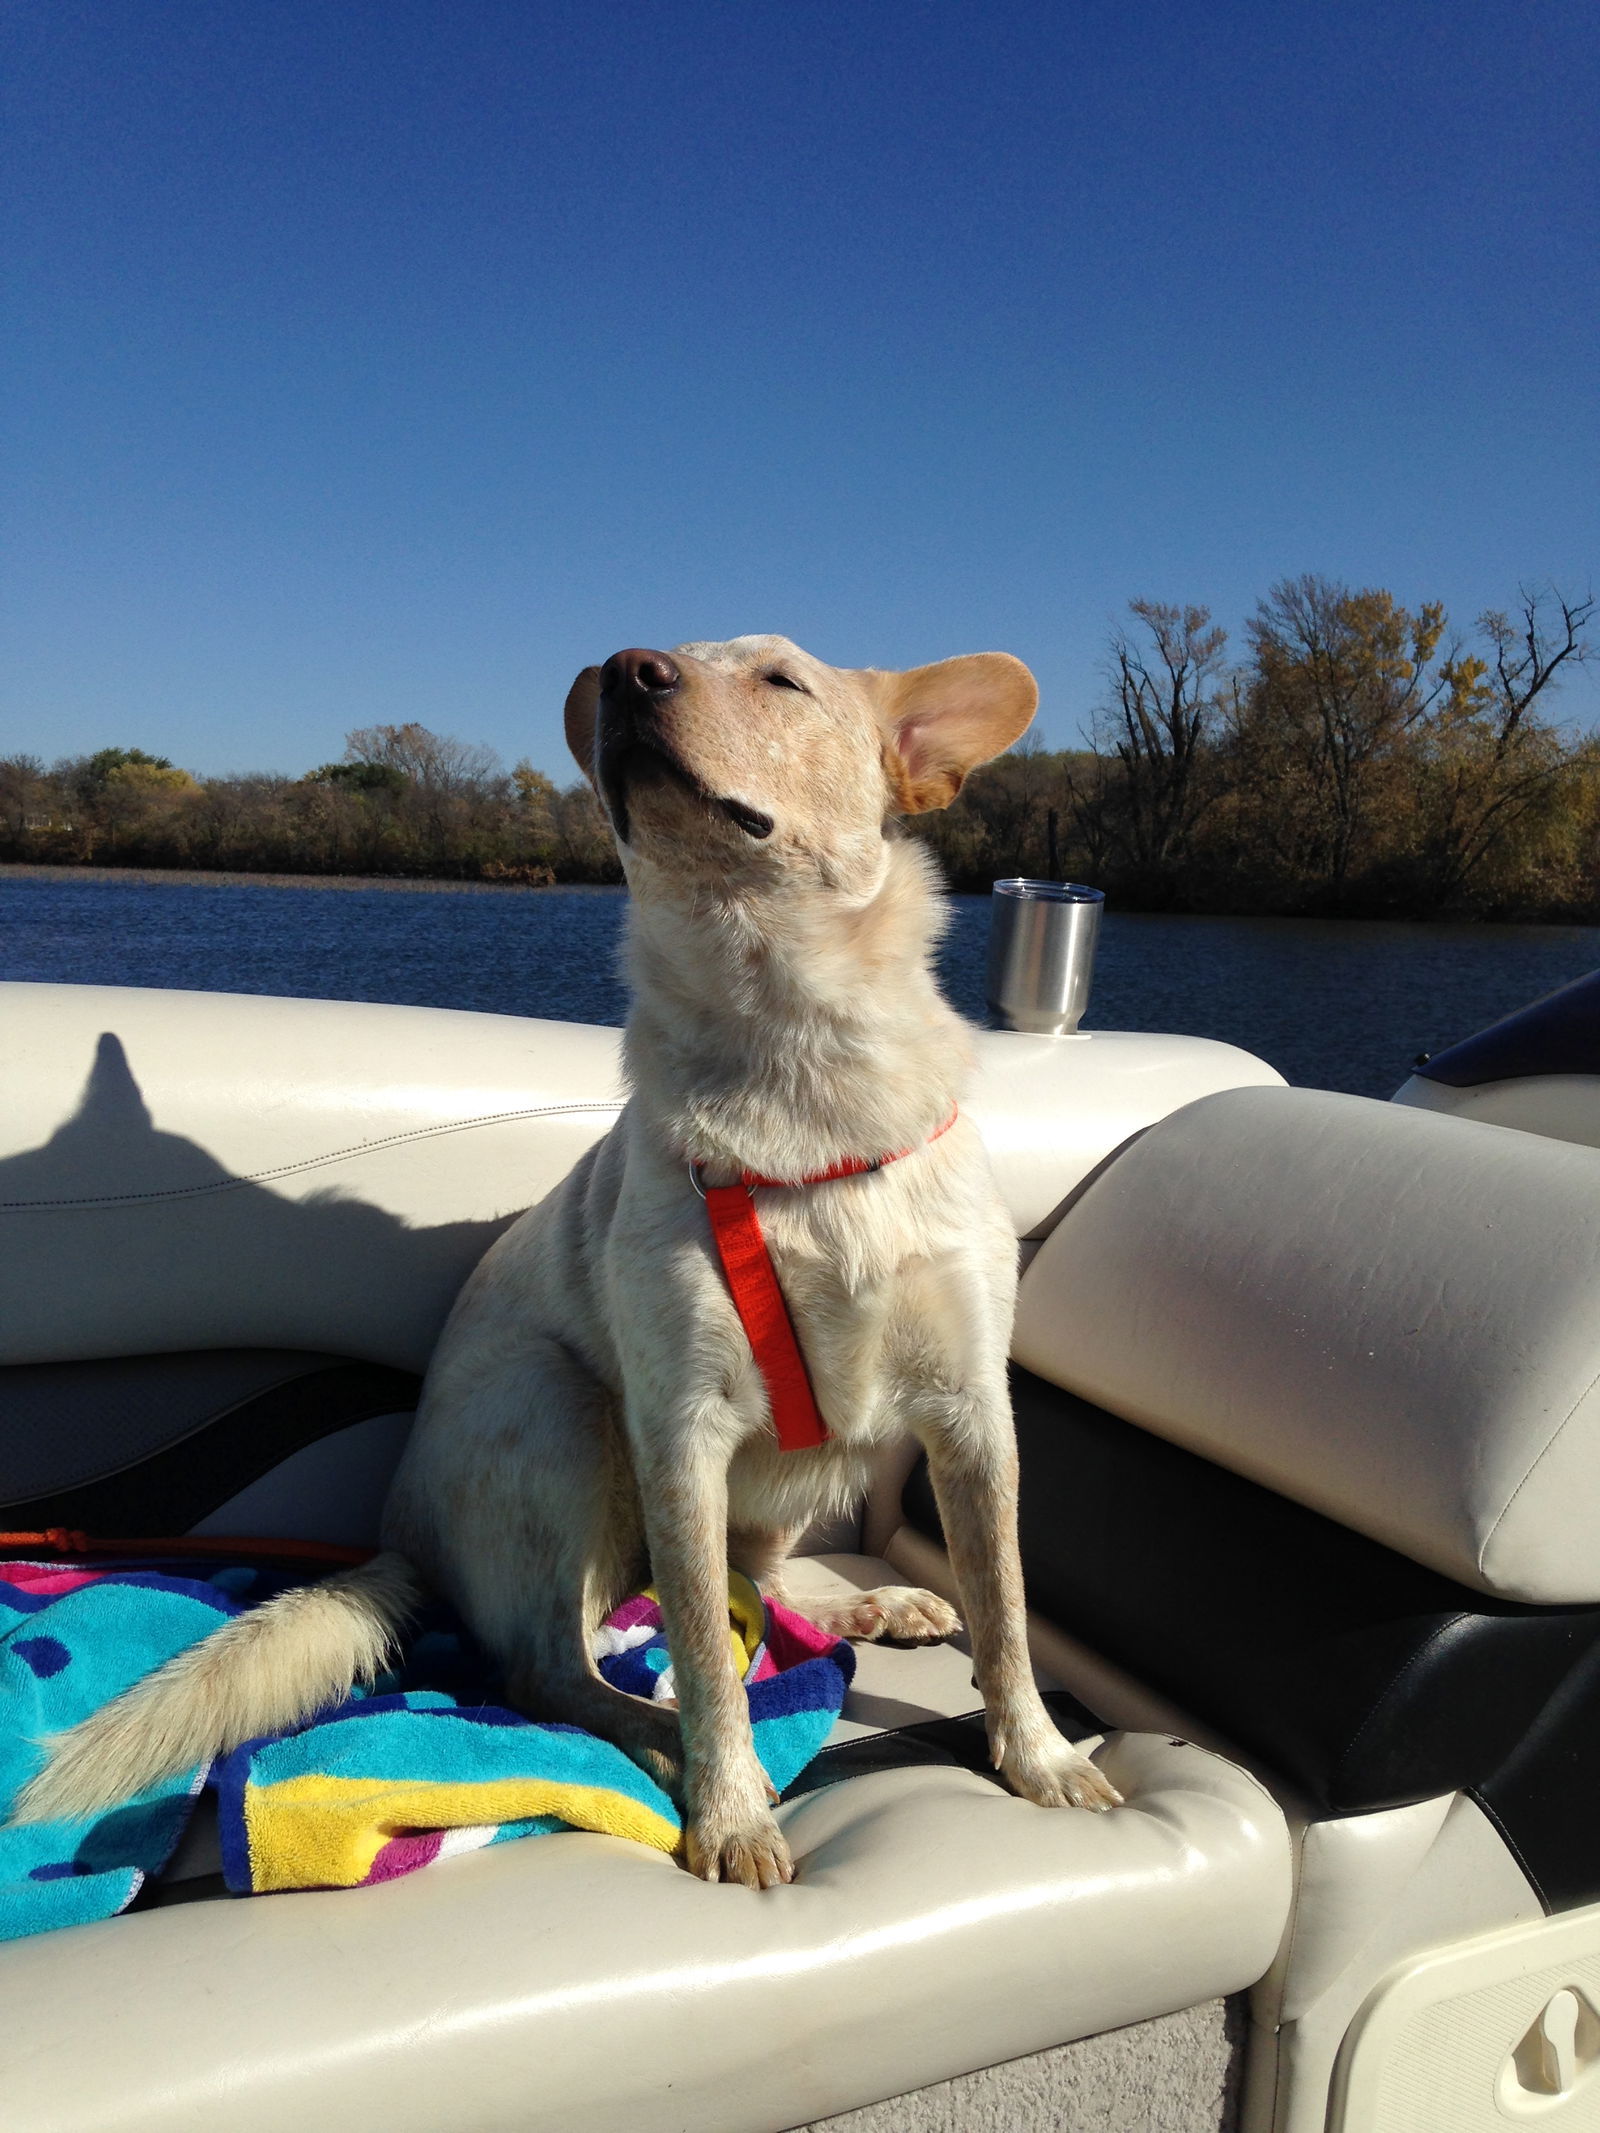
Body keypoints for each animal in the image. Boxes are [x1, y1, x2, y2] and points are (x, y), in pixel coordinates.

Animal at [15, 631, 1117, 1885]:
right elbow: (702, 1651)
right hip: (564, 1416)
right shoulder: (678, 1432)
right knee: (561, 1664)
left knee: (758, 1581)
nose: (630, 668)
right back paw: (668, 1733)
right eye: (657, 658)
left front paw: (1036, 1754)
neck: (791, 1055)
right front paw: (728, 1810)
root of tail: (399, 1537)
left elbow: (1005, 1605)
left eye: (780, 681)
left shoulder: (972, 1415)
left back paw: (860, 1613)